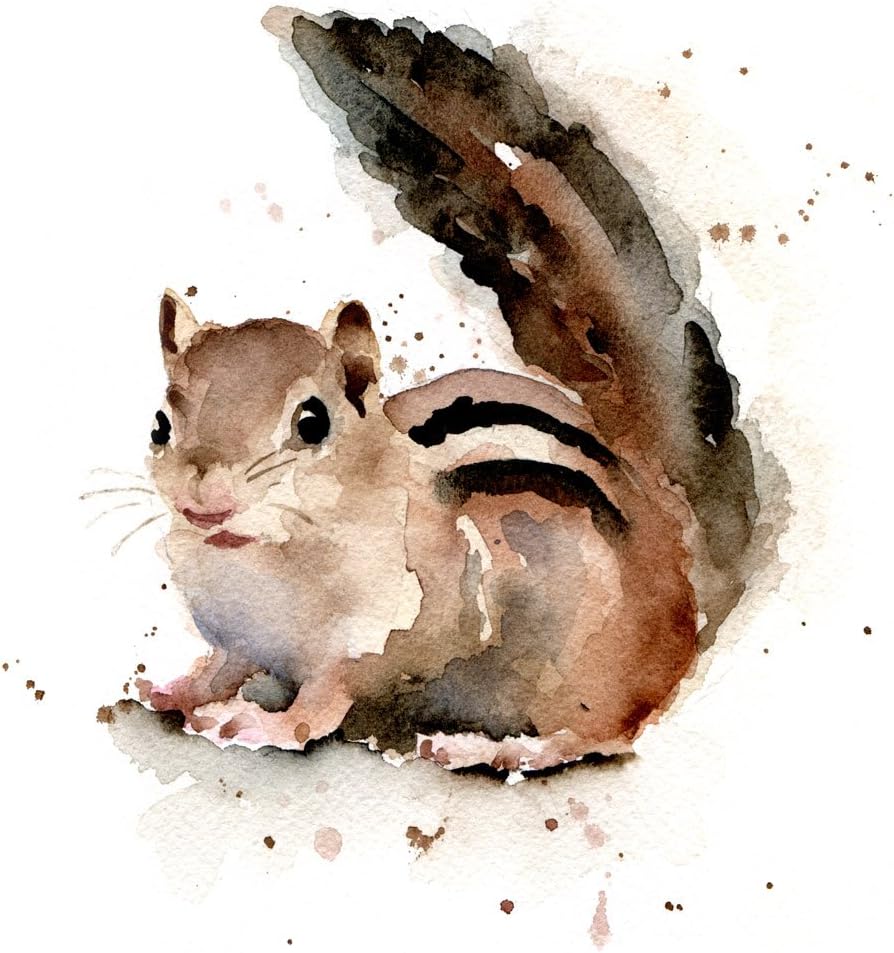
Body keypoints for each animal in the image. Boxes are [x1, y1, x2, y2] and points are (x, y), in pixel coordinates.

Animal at [136, 11, 762, 773]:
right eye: (161, 424)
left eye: (312, 422)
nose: (204, 501)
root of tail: (682, 556)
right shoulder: (236, 635)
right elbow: (223, 664)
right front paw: (176, 689)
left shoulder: (403, 619)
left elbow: (327, 696)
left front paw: (261, 722)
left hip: (594, 662)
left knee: (610, 727)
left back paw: (500, 747)